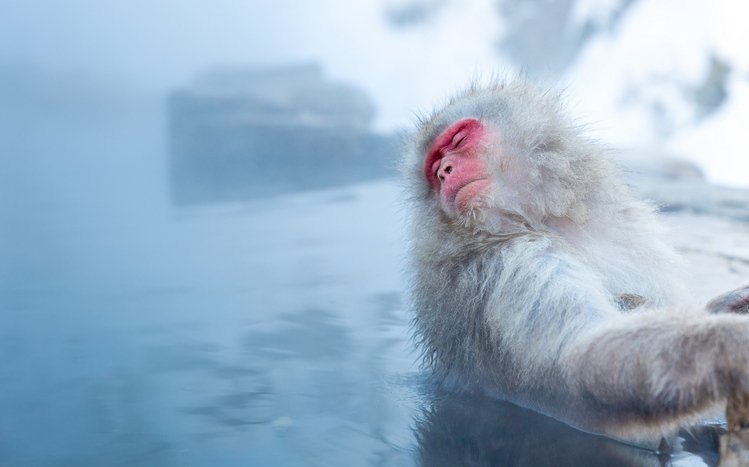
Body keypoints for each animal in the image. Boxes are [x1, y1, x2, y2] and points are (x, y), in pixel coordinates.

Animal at [401, 79, 749, 442]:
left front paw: (726, 306)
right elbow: (585, 359)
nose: (444, 171)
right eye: (433, 169)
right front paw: (738, 343)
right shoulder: (513, 265)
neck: (535, 221)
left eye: (457, 140)